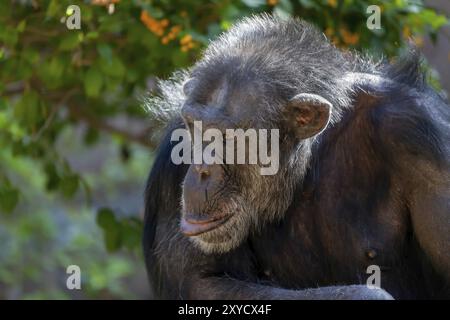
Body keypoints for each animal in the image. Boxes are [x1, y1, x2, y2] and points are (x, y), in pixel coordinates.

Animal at [143, 15, 450, 300]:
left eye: (229, 137)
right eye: (194, 127)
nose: (200, 169)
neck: (309, 158)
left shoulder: (421, 136)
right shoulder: (171, 167)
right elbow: (204, 281)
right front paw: (367, 295)